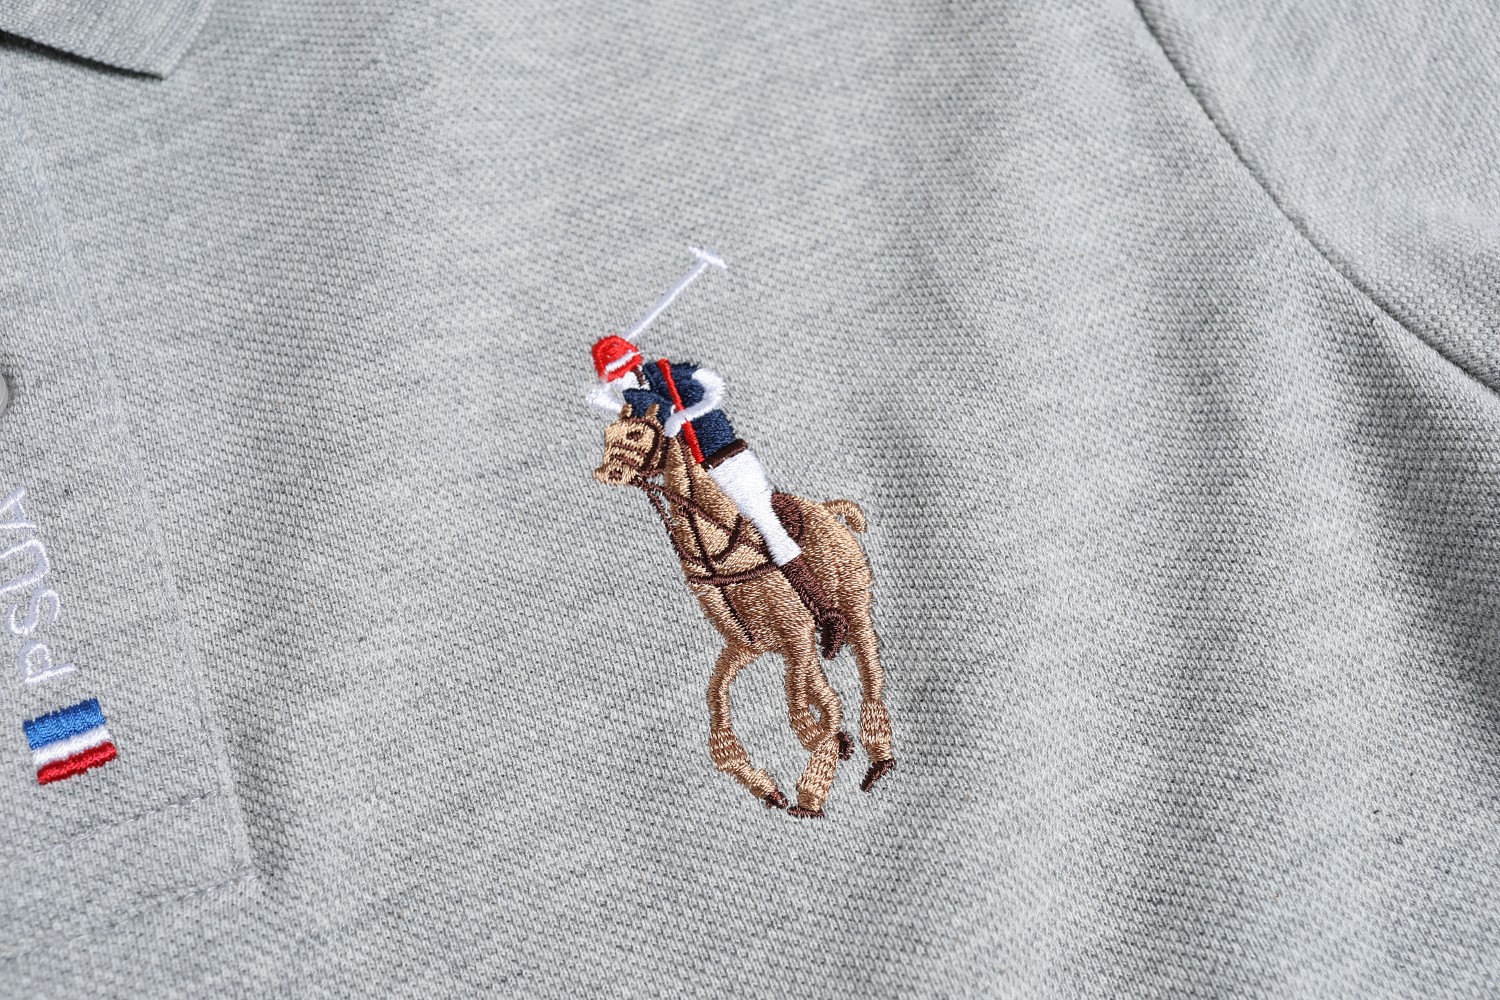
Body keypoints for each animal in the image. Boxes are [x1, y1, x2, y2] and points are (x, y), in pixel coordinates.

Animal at [593, 403, 895, 817]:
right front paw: (770, 786)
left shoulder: (796, 633)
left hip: (855, 606)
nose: (608, 473)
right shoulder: (748, 647)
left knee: (869, 672)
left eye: (636, 434)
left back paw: (879, 755)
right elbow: (721, 705)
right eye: (608, 434)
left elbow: (801, 713)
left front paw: (813, 784)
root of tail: (829, 511)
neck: (716, 547)